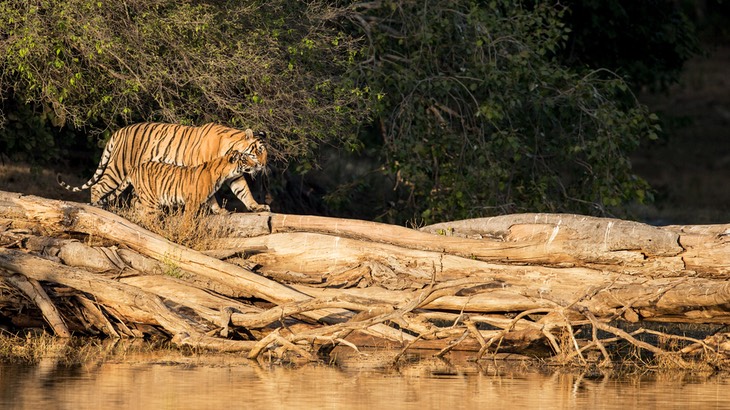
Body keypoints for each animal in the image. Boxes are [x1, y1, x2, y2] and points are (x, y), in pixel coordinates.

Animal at [104, 149, 258, 216]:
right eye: (245, 160)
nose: (256, 164)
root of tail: (135, 168)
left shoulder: (208, 194)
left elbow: (213, 202)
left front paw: (220, 211)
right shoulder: (193, 200)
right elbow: (188, 217)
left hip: (144, 195)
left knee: (135, 203)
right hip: (151, 199)